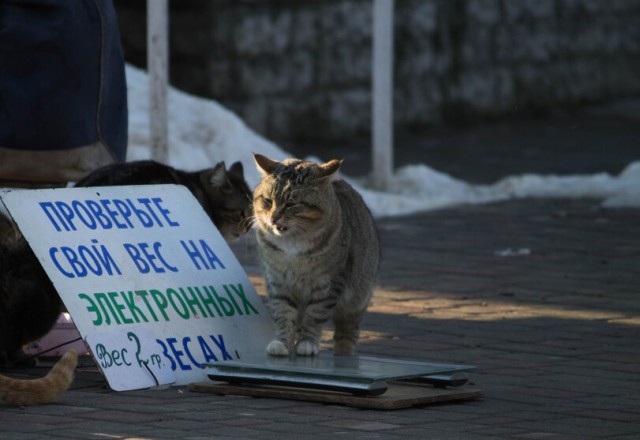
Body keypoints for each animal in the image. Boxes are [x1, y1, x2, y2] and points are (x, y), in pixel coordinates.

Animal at [251, 153, 380, 356]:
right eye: (268, 201)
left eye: (292, 203)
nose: (273, 218)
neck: (291, 246)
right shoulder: (278, 283)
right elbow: (283, 314)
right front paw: (282, 342)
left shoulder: (327, 286)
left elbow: (315, 317)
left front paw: (307, 343)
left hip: (357, 300)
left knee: (347, 333)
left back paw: (344, 352)